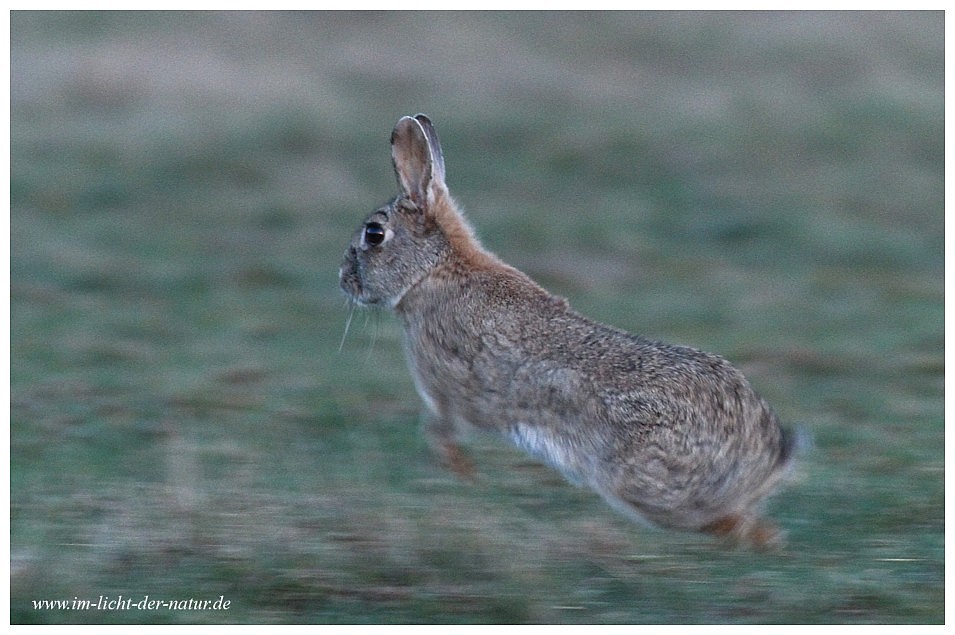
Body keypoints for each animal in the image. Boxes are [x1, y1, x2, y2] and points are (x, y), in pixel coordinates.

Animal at [344, 114, 800, 548]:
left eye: (374, 234)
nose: (344, 279)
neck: (434, 270)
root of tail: (766, 456)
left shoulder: (452, 392)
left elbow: (443, 429)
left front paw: (464, 475)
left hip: (642, 480)